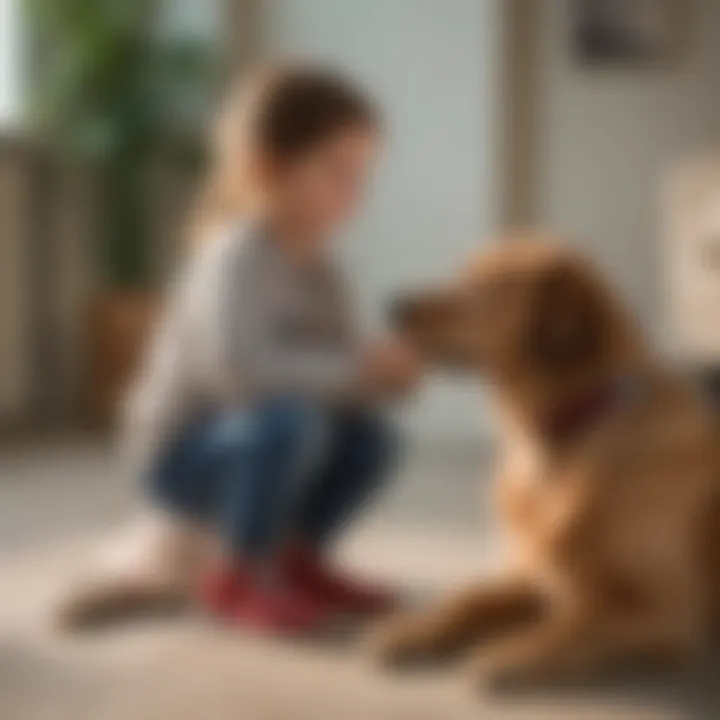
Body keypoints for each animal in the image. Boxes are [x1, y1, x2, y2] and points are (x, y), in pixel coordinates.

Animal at [372, 235, 720, 688]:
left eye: (487, 286)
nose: (393, 305)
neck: (561, 441)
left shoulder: (667, 608)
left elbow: (578, 622)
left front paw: (514, 651)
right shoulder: (532, 571)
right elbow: (470, 596)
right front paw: (414, 628)